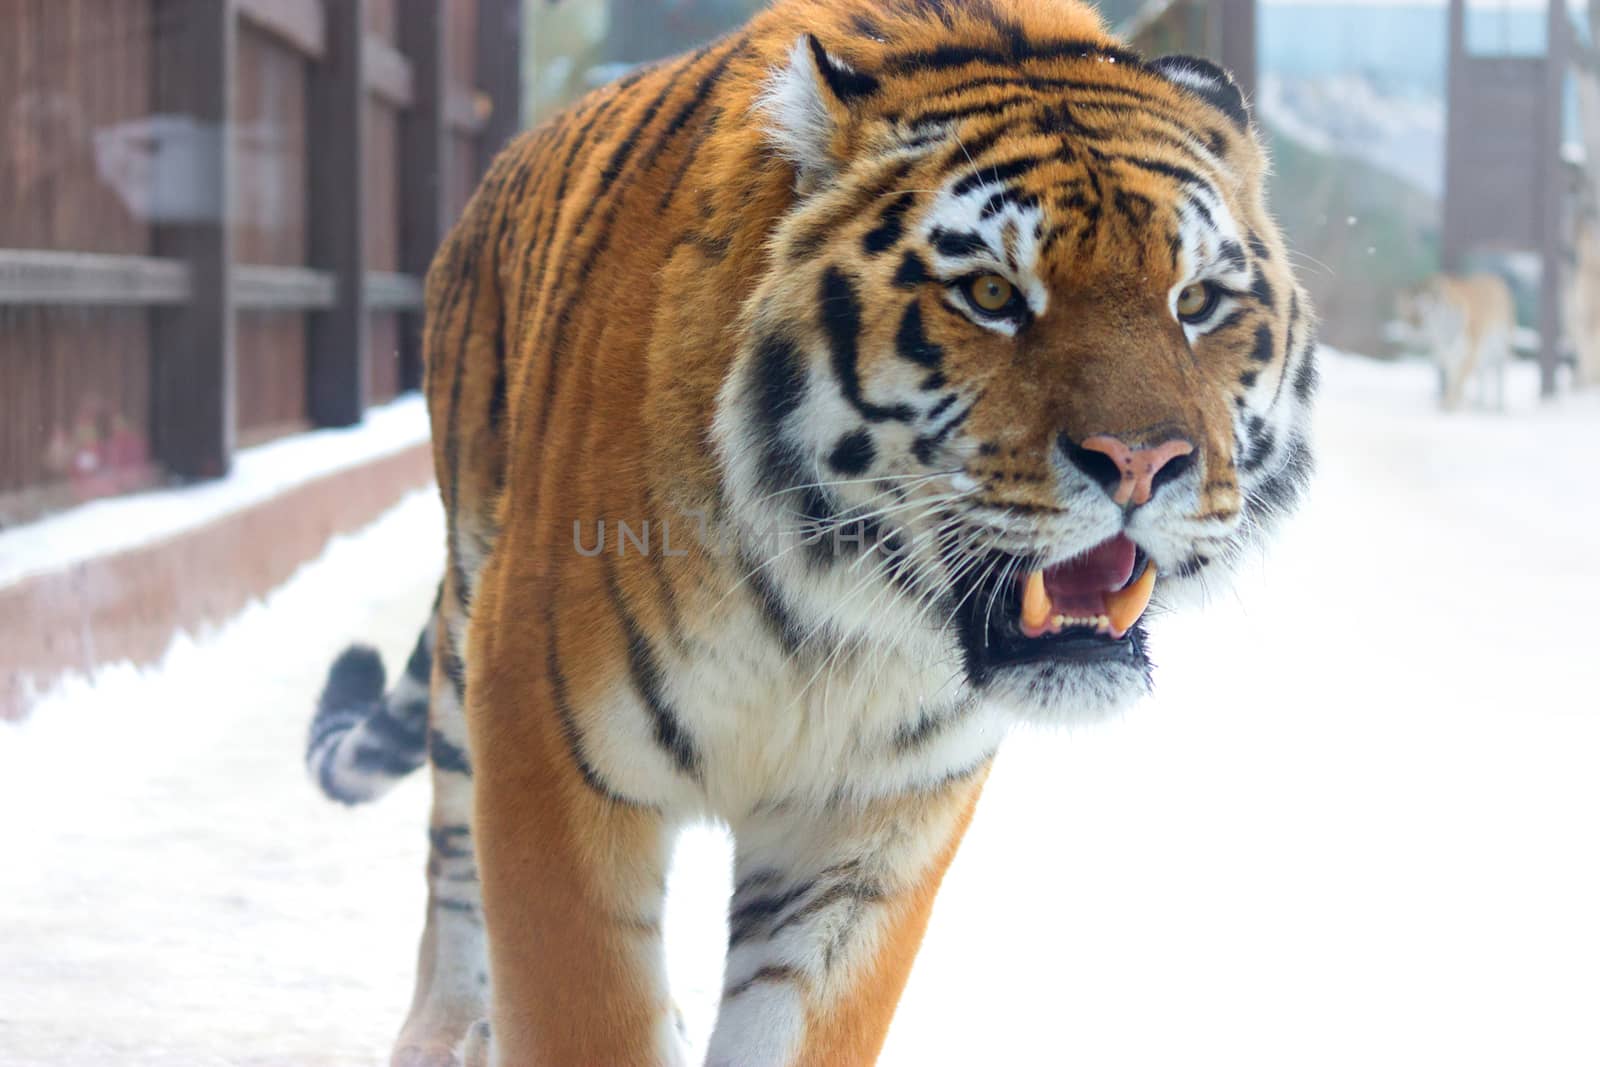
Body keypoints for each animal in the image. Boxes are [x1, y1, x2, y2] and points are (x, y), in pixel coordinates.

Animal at [305, 0, 1318, 1062]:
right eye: (992, 295)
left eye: (1196, 301)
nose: (1142, 461)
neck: (841, 615)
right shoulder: (548, 749)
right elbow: (580, 1004)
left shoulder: (872, 827)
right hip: (473, 622)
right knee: (451, 845)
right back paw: (445, 1029)